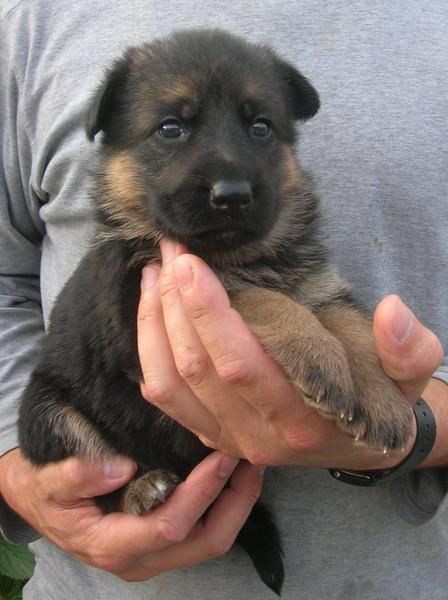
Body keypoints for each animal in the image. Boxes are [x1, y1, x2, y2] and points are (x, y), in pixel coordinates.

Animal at [20, 29, 412, 596]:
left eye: (260, 126)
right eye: (171, 128)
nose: (231, 195)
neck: (242, 254)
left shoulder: (317, 285)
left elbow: (350, 325)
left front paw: (383, 400)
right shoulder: (143, 304)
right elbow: (255, 297)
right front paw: (318, 354)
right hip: (49, 415)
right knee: (101, 483)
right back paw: (142, 490)